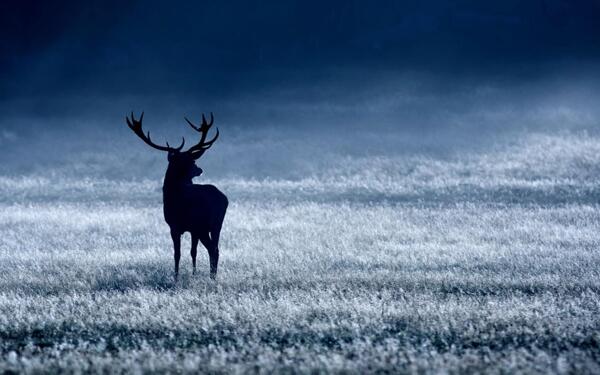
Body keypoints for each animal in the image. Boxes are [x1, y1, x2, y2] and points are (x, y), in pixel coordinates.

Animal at [125, 112, 229, 282]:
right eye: (189, 160)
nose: (199, 170)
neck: (173, 192)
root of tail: (223, 199)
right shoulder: (190, 230)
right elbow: (193, 252)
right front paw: (193, 273)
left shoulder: (174, 226)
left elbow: (177, 254)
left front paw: (176, 277)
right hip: (217, 224)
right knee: (216, 249)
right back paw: (213, 276)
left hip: (202, 225)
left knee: (212, 249)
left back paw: (212, 277)